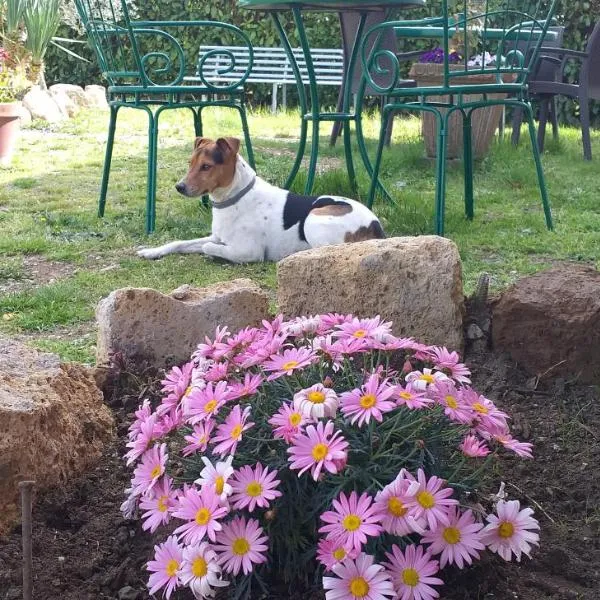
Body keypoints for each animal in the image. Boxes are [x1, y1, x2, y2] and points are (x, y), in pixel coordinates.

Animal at [137, 138, 384, 264]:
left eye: (206, 166)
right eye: (190, 163)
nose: (179, 187)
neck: (235, 198)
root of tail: (376, 226)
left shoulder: (249, 252)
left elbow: (208, 247)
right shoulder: (217, 236)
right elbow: (179, 243)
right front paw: (151, 251)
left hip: (313, 219)